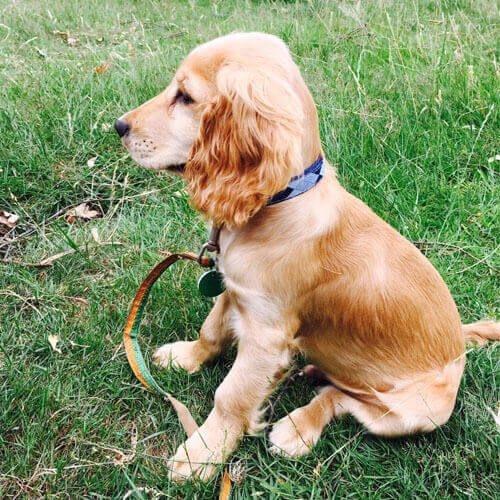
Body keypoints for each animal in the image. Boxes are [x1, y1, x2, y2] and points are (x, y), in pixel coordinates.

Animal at [114, 32, 500, 480]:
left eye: (186, 97)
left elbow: (231, 395)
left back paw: (298, 428)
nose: (119, 126)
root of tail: (460, 349)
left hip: (418, 411)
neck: (281, 202)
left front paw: (204, 451)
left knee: (343, 399)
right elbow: (212, 329)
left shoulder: (265, 335)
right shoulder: (235, 290)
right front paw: (186, 356)